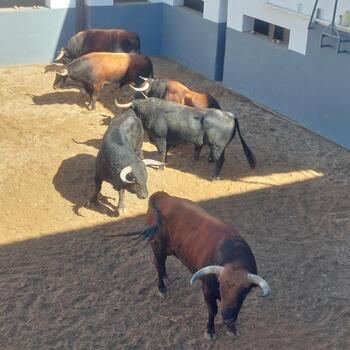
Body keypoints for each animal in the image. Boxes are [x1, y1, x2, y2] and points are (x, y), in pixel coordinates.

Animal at [116, 98, 256, 180]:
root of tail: (230, 115)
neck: (151, 111)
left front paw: (161, 168)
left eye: (134, 109)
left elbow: (161, 152)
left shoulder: (160, 138)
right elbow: (165, 153)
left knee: (220, 161)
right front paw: (166, 163)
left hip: (217, 147)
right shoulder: (169, 140)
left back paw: (213, 177)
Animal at [124, 191, 272, 340]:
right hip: (157, 246)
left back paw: (165, 276)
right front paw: (210, 331)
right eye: (221, 284)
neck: (234, 256)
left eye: (245, 290)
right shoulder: (207, 290)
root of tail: (159, 195)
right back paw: (162, 289)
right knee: (157, 265)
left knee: (162, 263)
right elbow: (212, 310)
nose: (228, 318)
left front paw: (232, 329)